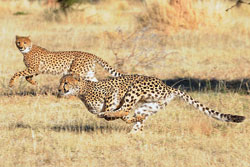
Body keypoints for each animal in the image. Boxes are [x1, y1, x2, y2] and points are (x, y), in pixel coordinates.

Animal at [57, 74, 245, 133]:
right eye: (61, 82)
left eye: (66, 82)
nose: (58, 89)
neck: (82, 91)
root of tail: (168, 87)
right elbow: (123, 116)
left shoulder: (112, 92)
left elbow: (114, 110)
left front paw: (110, 113)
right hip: (150, 105)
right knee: (139, 118)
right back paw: (134, 130)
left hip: (135, 88)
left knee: (125, 111)